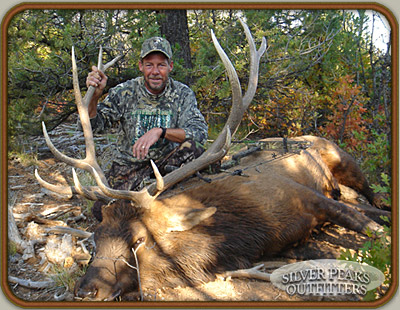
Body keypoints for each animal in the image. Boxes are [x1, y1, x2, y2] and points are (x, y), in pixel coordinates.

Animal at [35, 19, 388, 300]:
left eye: (139, 240)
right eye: (96, 238)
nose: (85, 290)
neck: (246, 233)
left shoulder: (307, 196)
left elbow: (372, 230)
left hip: (345, 160)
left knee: (371, 196)